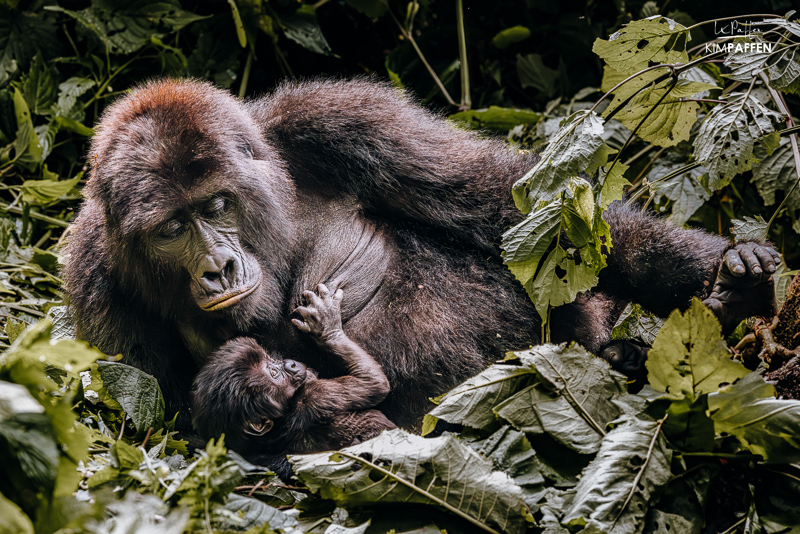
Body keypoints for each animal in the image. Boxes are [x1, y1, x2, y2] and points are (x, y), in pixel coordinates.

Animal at [191, 284, 396, 461]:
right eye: (274, 374)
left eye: (271, 359)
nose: (290, 364)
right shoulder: (317, 395)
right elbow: (374, 382)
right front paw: (327, 328)